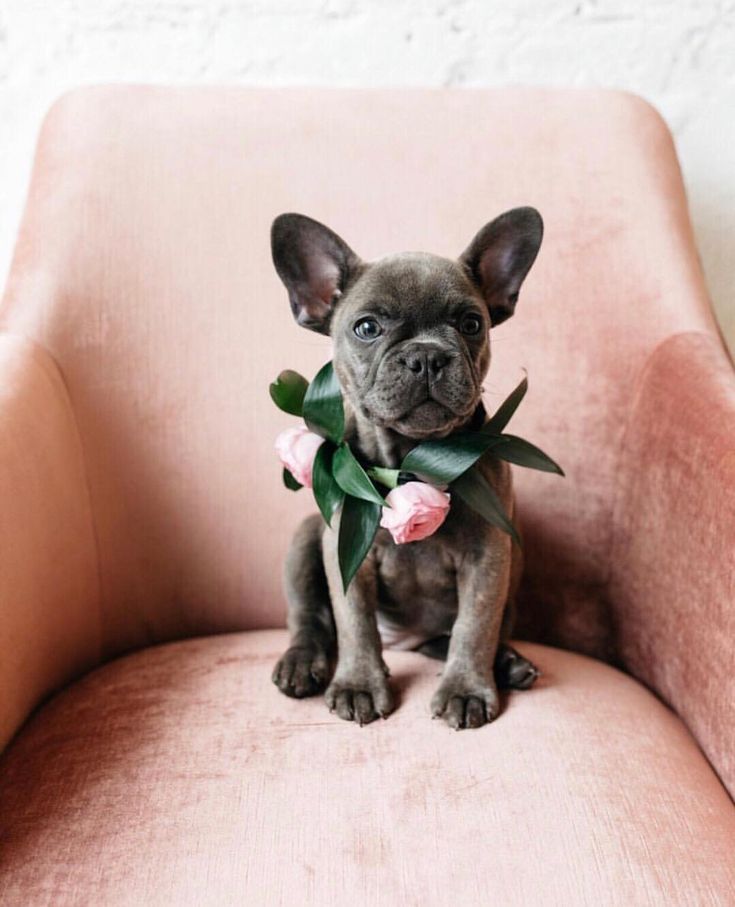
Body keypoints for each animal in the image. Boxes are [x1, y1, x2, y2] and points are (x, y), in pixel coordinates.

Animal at [268, 211, 540, 732]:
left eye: (471, 323)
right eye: (367, 327)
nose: (427, 355)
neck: (412, 460)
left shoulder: (488, 555)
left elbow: (475, 625)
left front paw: (465, 689)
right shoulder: (346, 549)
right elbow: (354, 623)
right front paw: (358, 683)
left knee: (456, 637)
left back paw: (507, 664)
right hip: (304, 539)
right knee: (311, 618)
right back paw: (301, 662)